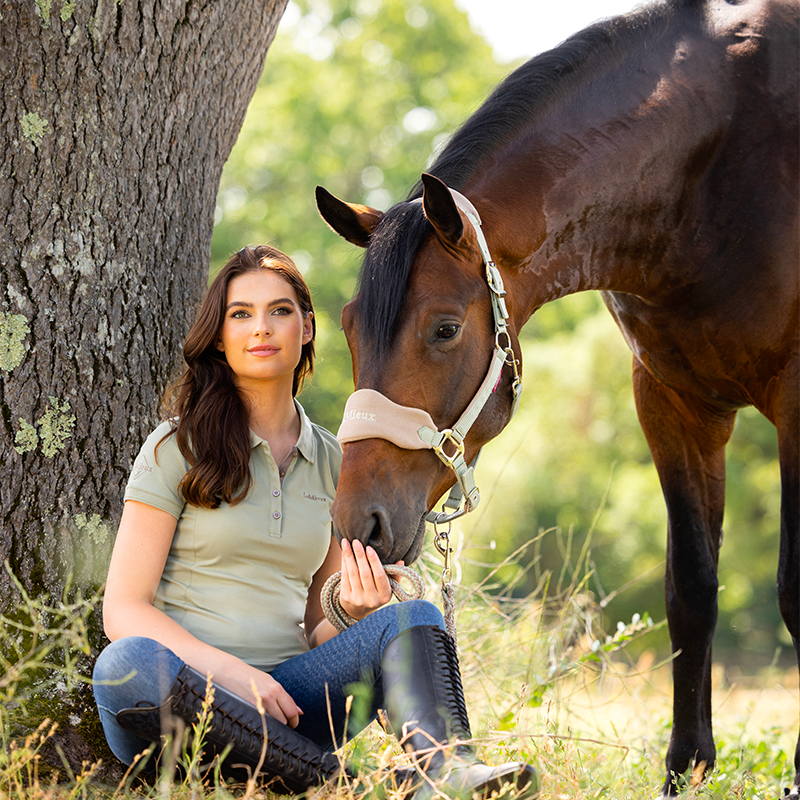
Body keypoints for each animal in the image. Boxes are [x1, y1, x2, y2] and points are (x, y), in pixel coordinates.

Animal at [316, 0, 800, 792]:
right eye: (349, 327)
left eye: (445, 328)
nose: (361, 523)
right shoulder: (672, 401)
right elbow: (691, 589)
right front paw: (684, 771)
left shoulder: (796, 401)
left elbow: (793, 589)